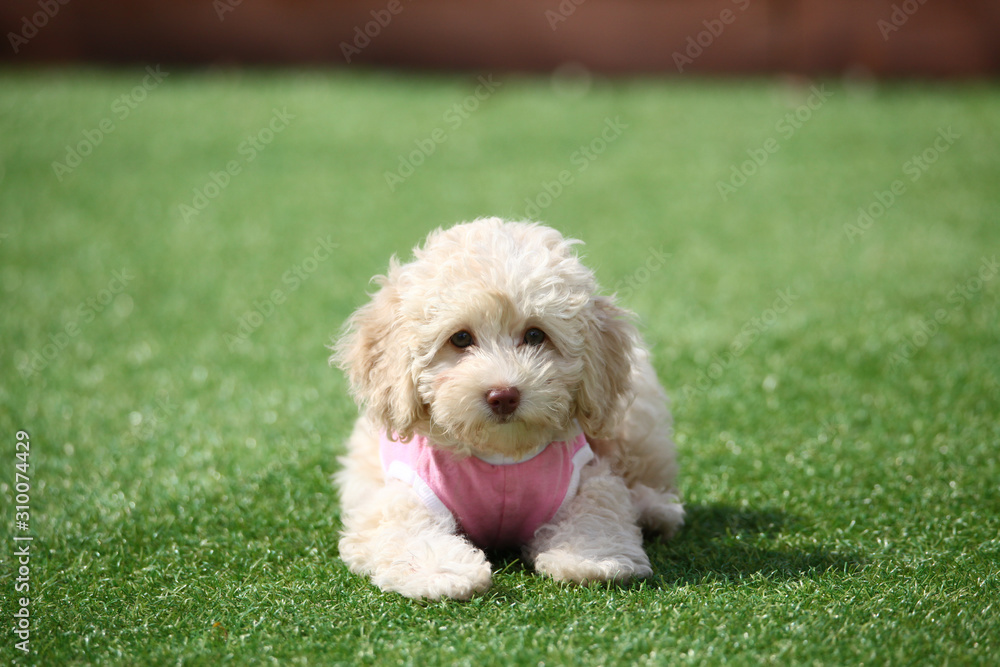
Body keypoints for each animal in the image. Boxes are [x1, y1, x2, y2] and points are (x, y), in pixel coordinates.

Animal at [332, 218, 684, 600]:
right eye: (460, 338)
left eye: (535, 335)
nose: (503, 395)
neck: (501, 454)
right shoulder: (403, 491)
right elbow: (405, 528)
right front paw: (439, 572)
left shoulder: (587, 474)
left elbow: (599, 507)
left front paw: (591, 557)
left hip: (637, 422)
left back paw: (655, 511)